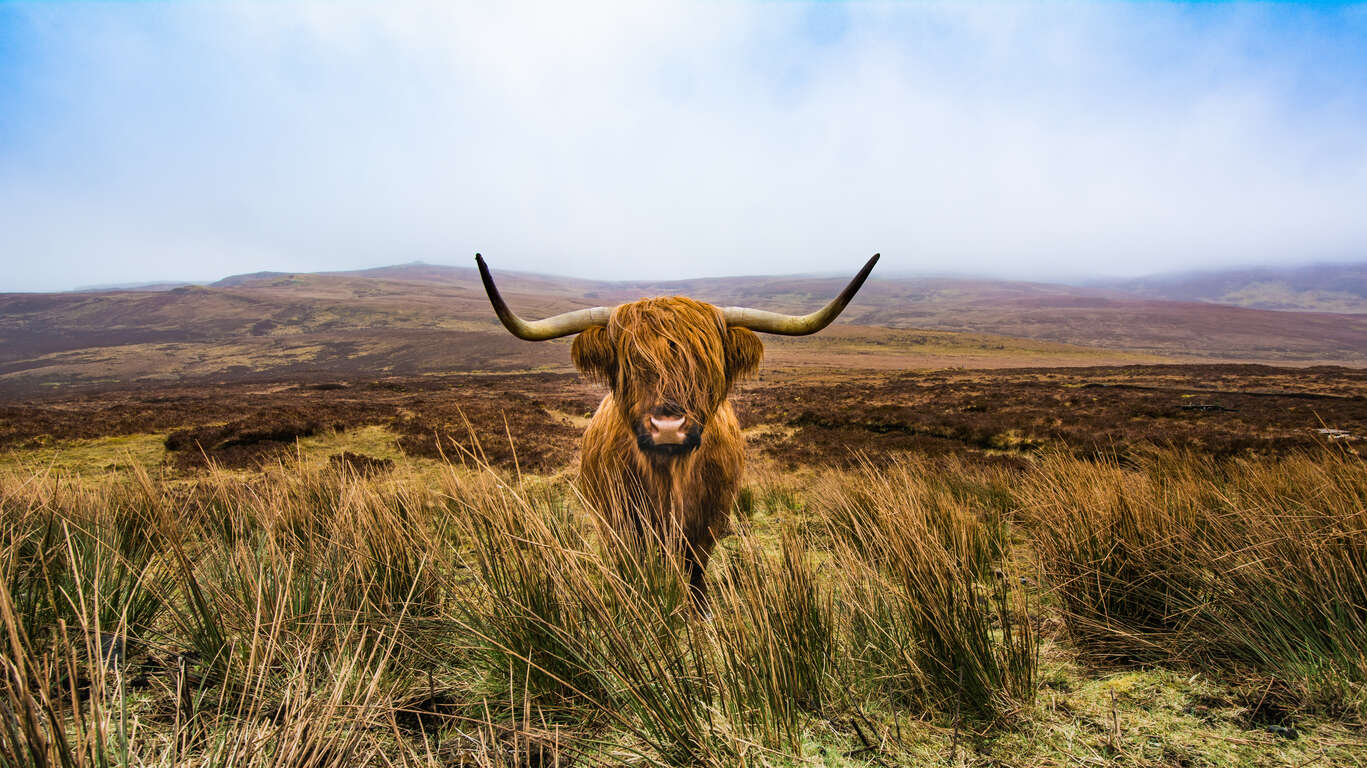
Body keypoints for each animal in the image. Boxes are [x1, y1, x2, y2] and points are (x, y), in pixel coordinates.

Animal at [475, 254, 880, 601]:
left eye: (705, 362)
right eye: (630, 363)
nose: (668, 427)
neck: (668, 478)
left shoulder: (709, 522)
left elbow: (696, 570)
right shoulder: (619, 523)